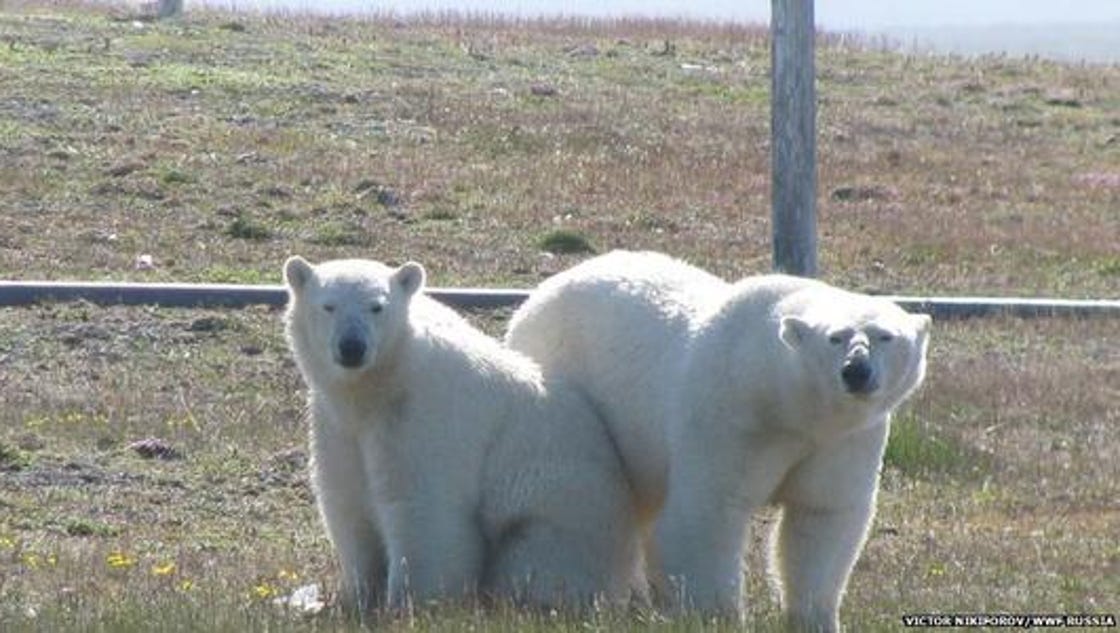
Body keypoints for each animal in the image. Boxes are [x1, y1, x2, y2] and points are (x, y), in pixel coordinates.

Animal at [283, 256, 640, 614]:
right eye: (328, 306)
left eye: (377, 307)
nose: (352, 347)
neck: (380, 387)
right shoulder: (336, 425)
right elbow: (347, 503)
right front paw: (354, 599)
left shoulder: (422, 417)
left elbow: (422, 509)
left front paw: (407, 603)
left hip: (558, 511)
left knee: (536, 561)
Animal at [505, 250, 931, 632]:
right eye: (835, 338)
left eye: (884, 336)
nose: (856, 371)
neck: (783, 400)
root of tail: (541, 290)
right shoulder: (729, 415)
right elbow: (709, 511)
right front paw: (716, 615)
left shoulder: (845, 438)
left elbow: (822, 515)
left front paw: (815, 618)